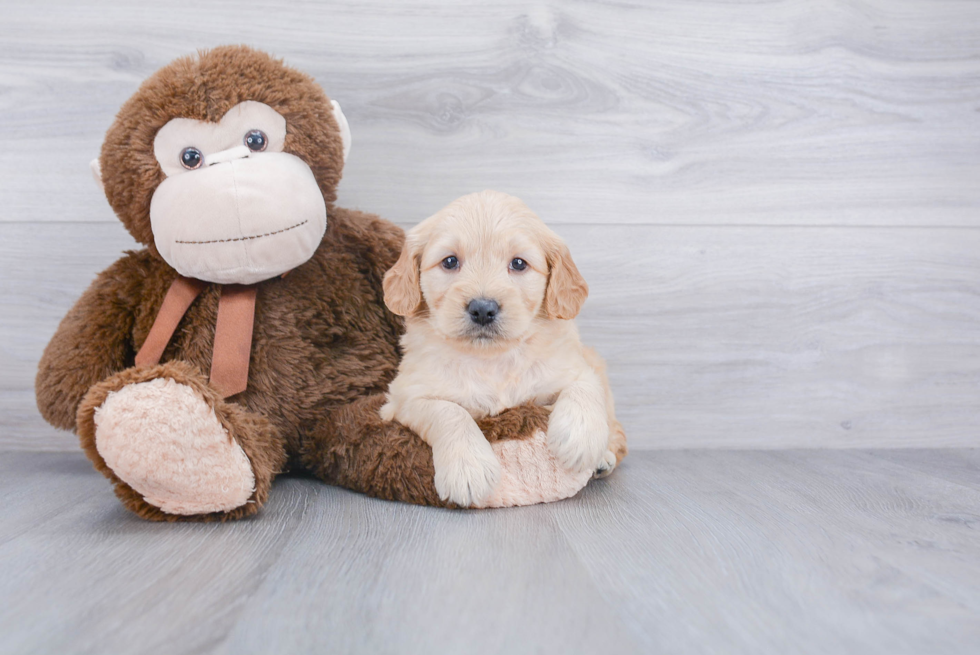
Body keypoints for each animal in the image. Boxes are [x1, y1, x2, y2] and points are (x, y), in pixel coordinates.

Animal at [378, 190, 624, 508]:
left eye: (518, 264)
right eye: (450, 261)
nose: (483, 309)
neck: (492, 359)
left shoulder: (576, 364)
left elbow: (583, 386)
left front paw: (580, 439)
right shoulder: (403, 396)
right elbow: (449, 411)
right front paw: (468, 468)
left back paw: (603, 458)